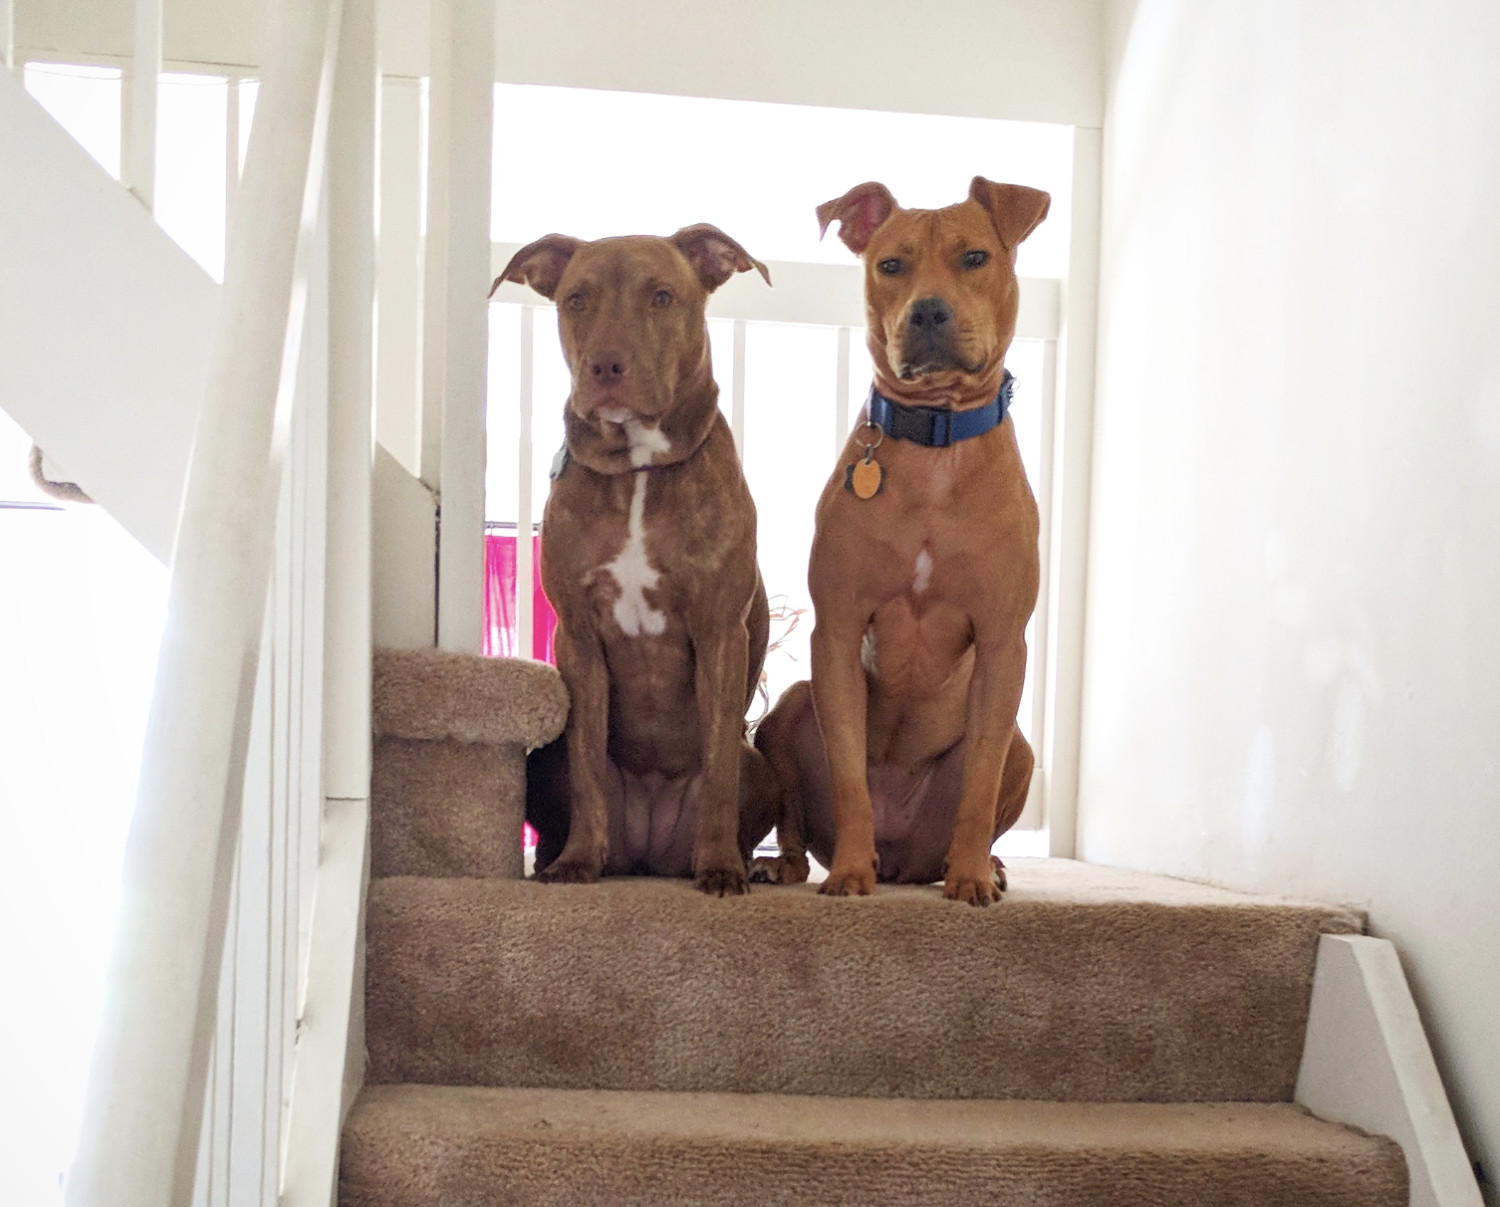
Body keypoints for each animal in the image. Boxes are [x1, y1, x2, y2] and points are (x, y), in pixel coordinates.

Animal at [501, 226, 780, 893]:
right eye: (576, 299)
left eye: (661, 297)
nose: (605, 365)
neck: (638, 472)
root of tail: (651, 859)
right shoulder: (578, 636)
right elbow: (587, 771)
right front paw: (578, 861)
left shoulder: (719, 633)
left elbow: (719, 771)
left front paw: (720, 869)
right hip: (543, 755)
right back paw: (555, 859)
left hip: (761, 763)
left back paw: (753, 866)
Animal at [756, 176, 1050, 905]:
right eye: (891, 265)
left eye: (975, 257)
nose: (929, 312)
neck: (935, 444)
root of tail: (903, 858)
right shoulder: (835, 631)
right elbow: (849, 777)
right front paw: (849, 873)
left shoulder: (1003, 642)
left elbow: (979, 783)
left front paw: (970, 875)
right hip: (789, 708)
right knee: (797, 821)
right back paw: (794, 865)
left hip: (1023, 747)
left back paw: (982, 864)